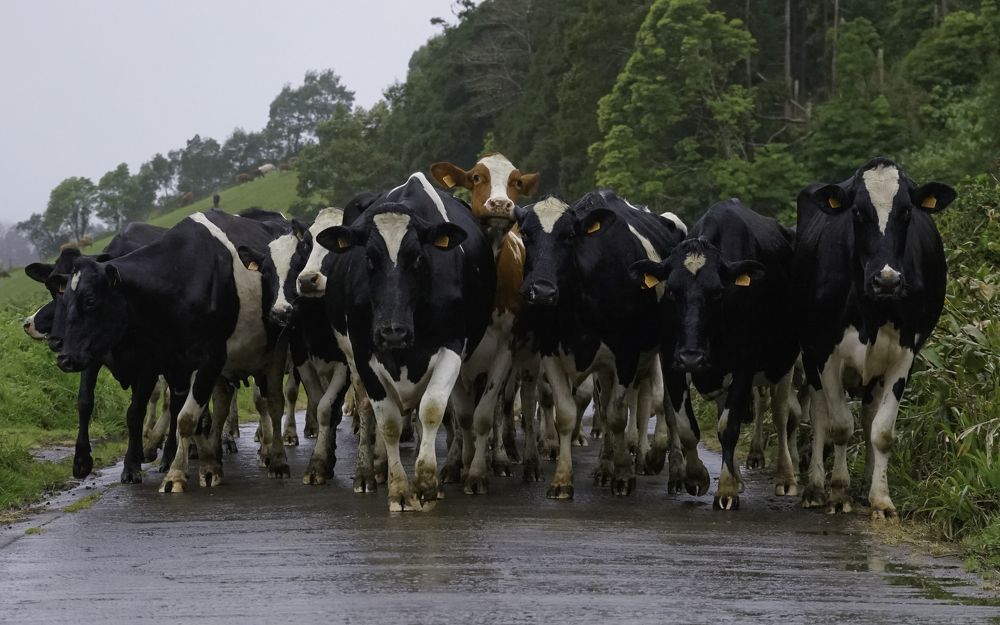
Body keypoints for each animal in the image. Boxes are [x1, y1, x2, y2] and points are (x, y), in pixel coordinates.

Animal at [47, 209, 292, 493]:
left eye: (90, 300)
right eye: (62, 298)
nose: (64, 357)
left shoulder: (207, 359)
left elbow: (184, 417)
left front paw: (174, 474)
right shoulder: (174, 364)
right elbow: (185, 416)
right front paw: (205, 466)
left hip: (275, 351)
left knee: (273, 402)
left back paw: (276, 458)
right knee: (225, 402)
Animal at [313, 172, 495, 511]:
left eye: (418, 258)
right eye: (369, 259)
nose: (391, 331)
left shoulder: (452, 346)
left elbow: (432, 410)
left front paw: (426, 484)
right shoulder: (364, 353)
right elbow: (388, 423)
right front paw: (399, 489)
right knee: (367, 410)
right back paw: (369, 472)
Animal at [514, 190, 703, 499]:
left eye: (570, 235)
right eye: (526, 234)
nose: (541, 290)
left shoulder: (626, 355)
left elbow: (617, 415)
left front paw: (624, 475)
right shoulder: (551, 353)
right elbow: (567, 413)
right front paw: (562, 480)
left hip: (666, 351)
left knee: (665, 404)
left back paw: (673, 470)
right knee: (605, 405)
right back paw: (604, 467)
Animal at [631, 199, 800, 509]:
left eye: (718, 292)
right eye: (671, 291)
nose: (692, 357)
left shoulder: (745, 363)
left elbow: (729, 427)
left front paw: (726, 490)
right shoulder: (671, 360)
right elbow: (687, 426)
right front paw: (697, 476)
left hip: (786, 362)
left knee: (783, 416)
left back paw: (785, 477)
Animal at [793, 157, 955, 519]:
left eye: (907, 212)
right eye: (857, 212)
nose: (888, 280)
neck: (871, 310)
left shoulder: (904, 354)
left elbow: (881, 430)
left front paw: (881, 498)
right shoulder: (826, 352)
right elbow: (840, 425)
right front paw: (838, 493)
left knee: (868, 416)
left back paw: (867, 482)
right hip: (810, 358)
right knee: (819, 415)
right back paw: (815, 488)